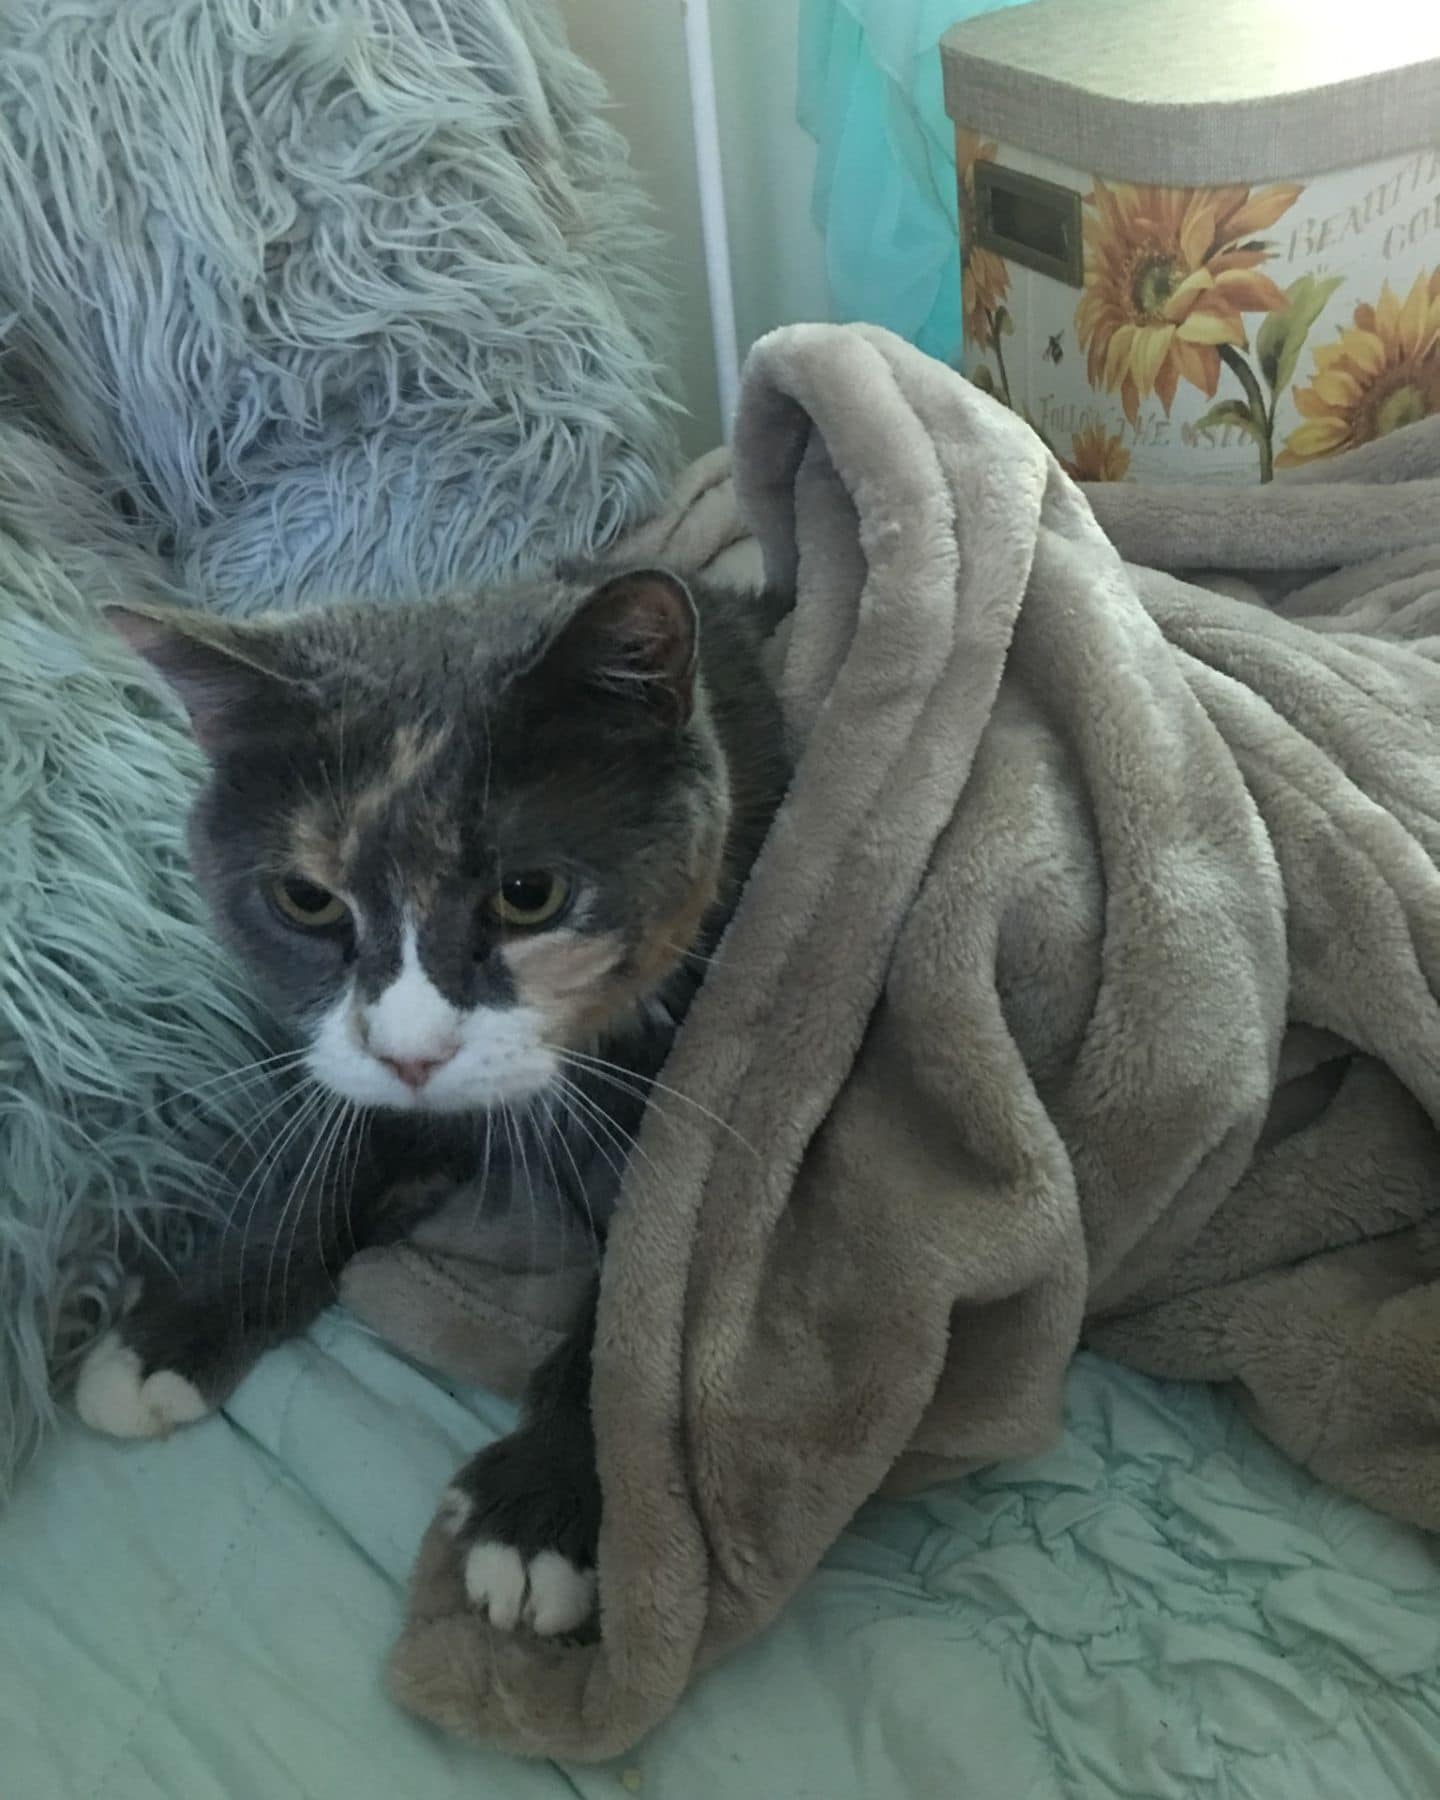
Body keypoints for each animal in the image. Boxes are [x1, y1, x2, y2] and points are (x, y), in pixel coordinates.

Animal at [77, 568, 788, 1641]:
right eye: (306, 900)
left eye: (530, 893)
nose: (415, 1051)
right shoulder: (362, 1072)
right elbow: (321, 1164)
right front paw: (173, 1329)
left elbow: (643, 1291)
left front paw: (541, 1510)